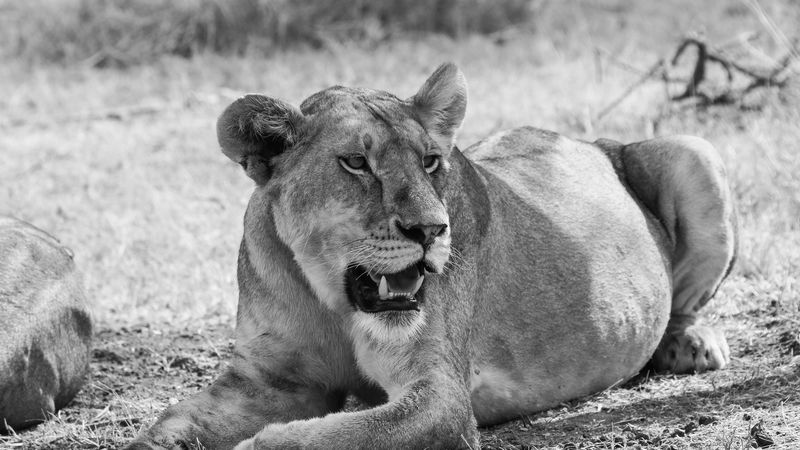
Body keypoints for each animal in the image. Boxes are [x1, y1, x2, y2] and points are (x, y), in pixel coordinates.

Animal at [127, 63, 736, 449]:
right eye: (356, 163)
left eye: (431, 161)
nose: (432, 229)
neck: (327, 293)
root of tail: (593, 141)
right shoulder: (269, 380)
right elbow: (171, 422)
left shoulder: (439, 397)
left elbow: (317, 439)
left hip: (695, 151)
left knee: (685, 303)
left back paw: (692, 345)